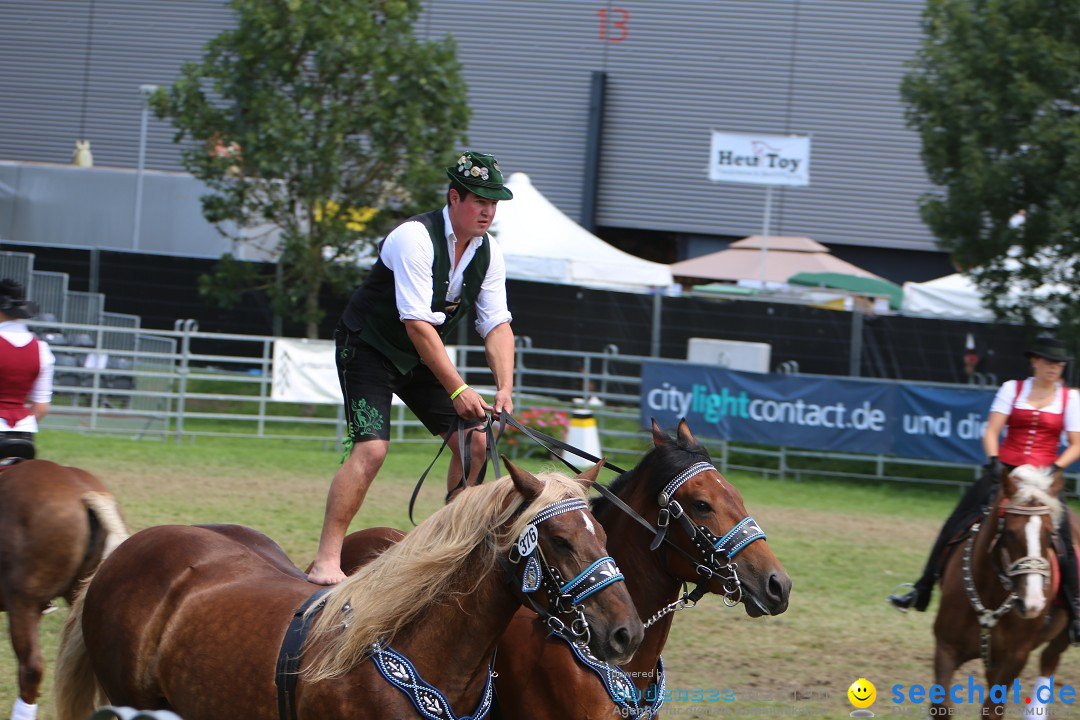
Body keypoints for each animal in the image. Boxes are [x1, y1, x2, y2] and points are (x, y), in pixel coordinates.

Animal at [928, 464, 1071, 716]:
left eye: (1050, 535)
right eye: (1010, 533)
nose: (1033, 603)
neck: (990, 596)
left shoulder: (1015, 657)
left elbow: (993, 709)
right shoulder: (946, 647)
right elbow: (941, 706)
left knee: (1049, 660)